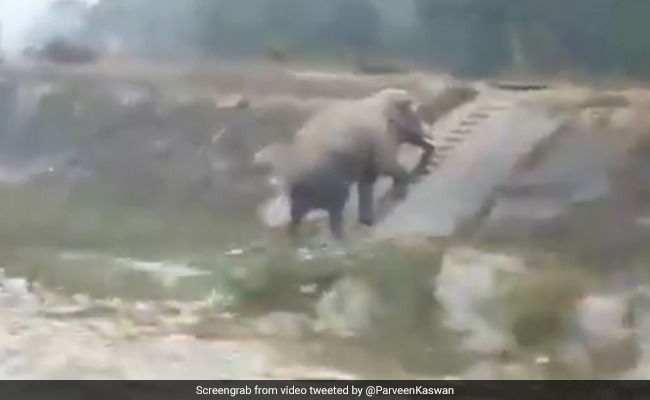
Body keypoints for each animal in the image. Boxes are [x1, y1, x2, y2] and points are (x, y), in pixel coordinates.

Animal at [261, 88, 435, 242]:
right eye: (417, 114)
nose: (431, 138)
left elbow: (367, 184)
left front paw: (366, 220)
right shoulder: (381, 140)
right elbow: (386, 165)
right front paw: (404, 183)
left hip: (306, 193)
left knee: (297, 216)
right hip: (331, 181)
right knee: (336, 211)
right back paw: (339, 237)